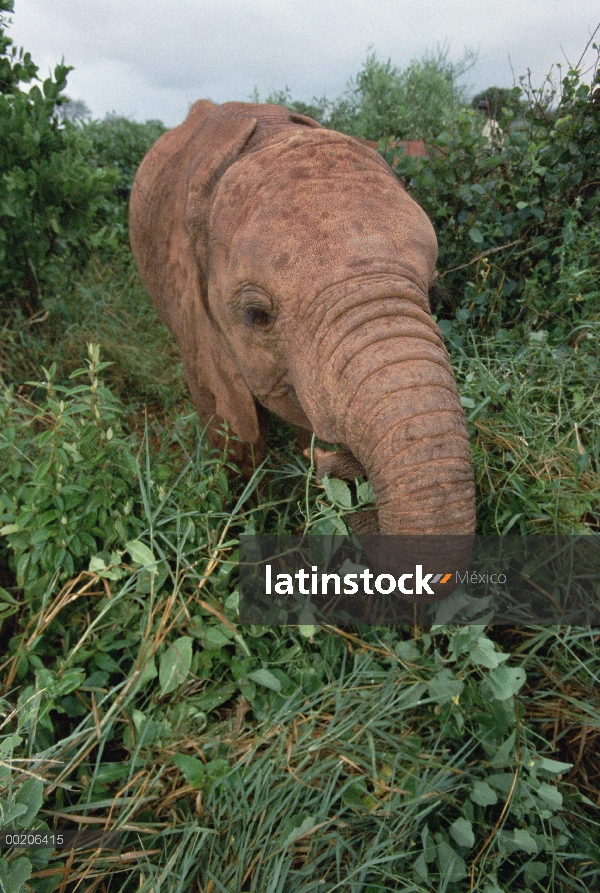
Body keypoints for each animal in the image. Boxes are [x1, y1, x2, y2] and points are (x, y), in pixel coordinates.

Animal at [129, 104, 476, 536]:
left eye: (432, 291)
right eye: (256, 315)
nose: (337, 465)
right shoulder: (192, 322)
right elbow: (233, 434)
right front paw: (247, 518)